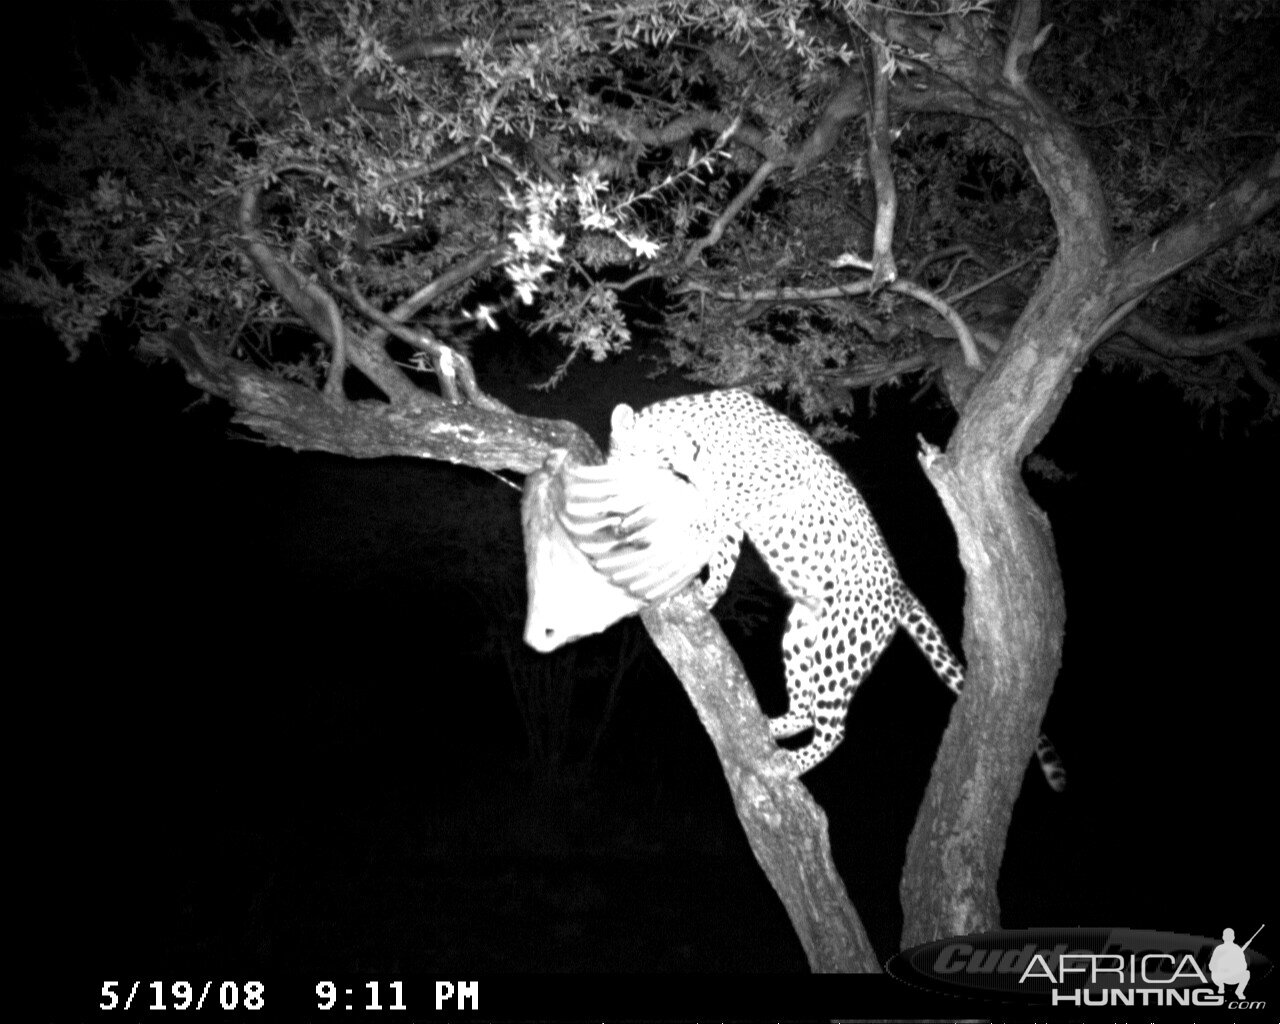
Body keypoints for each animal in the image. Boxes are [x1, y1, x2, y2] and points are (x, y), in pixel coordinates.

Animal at [560, 389, 1070, 788]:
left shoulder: (774, 474)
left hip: (840, 649)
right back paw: (774, 726)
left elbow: (719, 508)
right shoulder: (731, 514)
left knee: (835, 729)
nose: (612, 500)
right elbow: (722, 549)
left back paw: (791, 762)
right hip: (804, 631)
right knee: (807, 705)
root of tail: (898, 591)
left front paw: (681, 533)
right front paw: (707, 593)